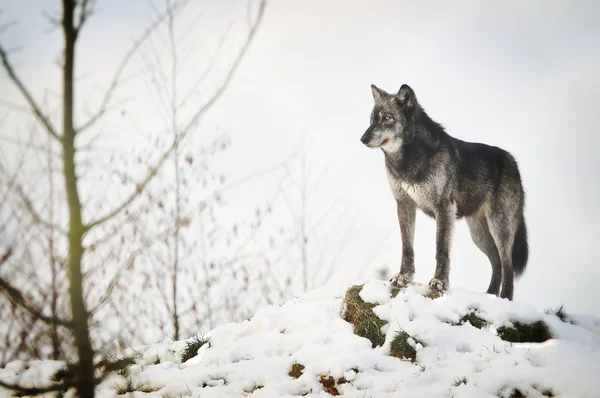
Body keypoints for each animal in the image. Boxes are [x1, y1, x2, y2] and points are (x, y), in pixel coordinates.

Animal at [360, 84, 524, 300]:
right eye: (372, 119)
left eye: (387, 118)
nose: (363, 139)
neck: (408, 158)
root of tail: (512, 161)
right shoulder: (404, 204)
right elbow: (407, 247)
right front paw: (404, 276)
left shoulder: (444, 207)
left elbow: (441, 249)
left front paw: (439, 282)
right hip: (479, 235)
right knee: (497, 263)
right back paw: (489, 296)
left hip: (499, 227)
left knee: (508, 266)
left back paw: (504, 299)